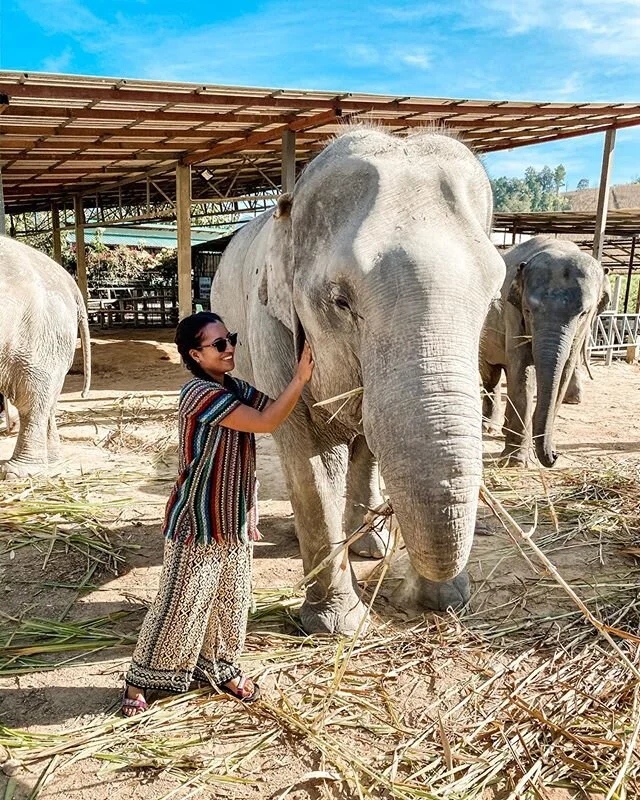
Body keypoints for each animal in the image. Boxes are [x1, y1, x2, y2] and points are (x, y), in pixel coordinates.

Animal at [0, 236, 91, 479]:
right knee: (48, 400)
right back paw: (52, 464)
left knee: (31, 397)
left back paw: (18, 472)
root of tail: (70, 283)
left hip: (40, 333)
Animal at [211, 127, 505, 635]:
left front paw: (441, 599)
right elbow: (308, 455)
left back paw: (371, 546)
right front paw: (337, 627)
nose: (438, 602)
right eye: (340, 301)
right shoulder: (269, 329)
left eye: (493, 299)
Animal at [480, 236, 610, 468]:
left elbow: (564, 373)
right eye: (528, 310)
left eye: (584, 313)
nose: (555, 456)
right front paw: (515, 461)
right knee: (491, 374)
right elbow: (523, 369)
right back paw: (489, 427)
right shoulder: (512, 312)